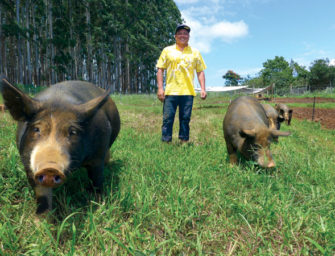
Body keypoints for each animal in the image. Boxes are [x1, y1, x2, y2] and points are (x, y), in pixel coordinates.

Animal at [0, 77, 121, 214]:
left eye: (73, 132)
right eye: (36, 129)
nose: (49, 168)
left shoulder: (98, 155)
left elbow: (96, 179)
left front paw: (98, 205)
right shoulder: (28, 165)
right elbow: (42, 194)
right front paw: (42, 218)